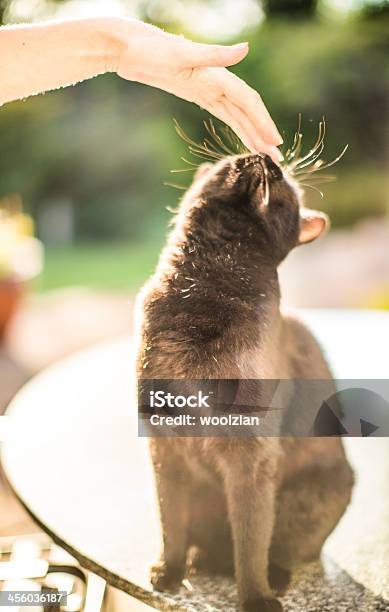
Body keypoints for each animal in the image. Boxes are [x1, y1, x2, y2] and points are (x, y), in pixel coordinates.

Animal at [135, 153, 354, 612]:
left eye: (286, 187)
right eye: (234, 157)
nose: (268, 160)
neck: (203, 293)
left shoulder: (250, 457)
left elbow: (251, 541)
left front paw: (256, 598)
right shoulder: (164, 447)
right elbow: (171, 521)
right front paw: (168, 571)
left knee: (283, 548)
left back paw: (273, 578)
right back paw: (197, 563)